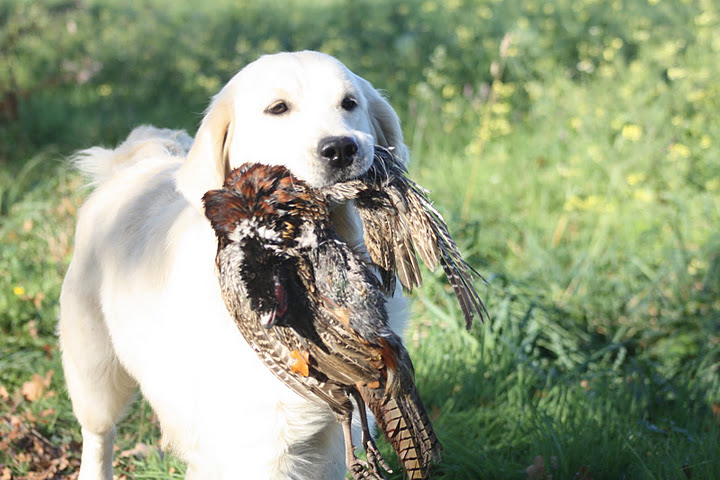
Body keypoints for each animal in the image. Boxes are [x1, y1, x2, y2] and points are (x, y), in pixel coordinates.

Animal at [60, 50, 410, 478]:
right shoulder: (258, 448)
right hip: (94, 371)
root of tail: (135, 164)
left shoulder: (333, 441)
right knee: (98, 434)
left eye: (349, 103)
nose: (341, 148)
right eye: (278, 108)